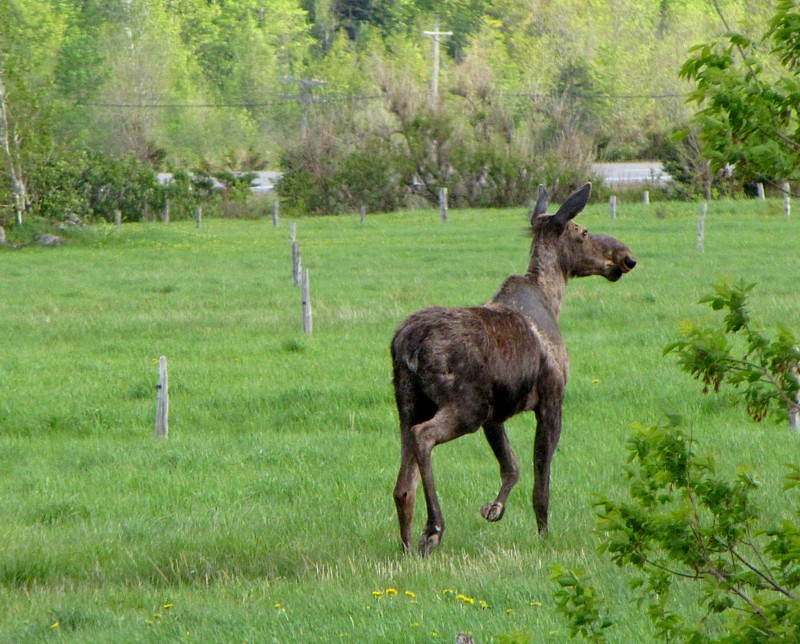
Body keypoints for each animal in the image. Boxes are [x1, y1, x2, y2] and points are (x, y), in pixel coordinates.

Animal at [390, 181, 636, 552]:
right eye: (583, 231)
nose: (625, 256)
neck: (552, 298)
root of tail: (406, 345)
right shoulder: (551, 400)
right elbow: (540, 484)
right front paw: (544, 535)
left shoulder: (496, 414)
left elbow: (512, 466)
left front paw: (495, 507)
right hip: (466, 407)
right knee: (424, 438)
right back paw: (433, 528)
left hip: (409, 405)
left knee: (404, 486)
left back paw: (407, 548)